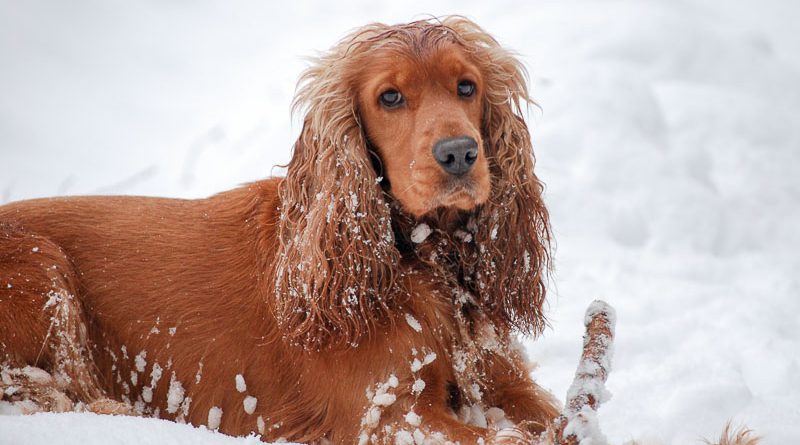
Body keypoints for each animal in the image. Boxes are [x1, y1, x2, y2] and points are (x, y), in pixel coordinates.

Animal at [0, 16, 564, 440]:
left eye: (467, 87)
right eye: (390, 97)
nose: (460, 153)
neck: (423, 257)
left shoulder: (506, 382)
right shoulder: (389, 413)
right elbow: (508, 437)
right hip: (41, 267)